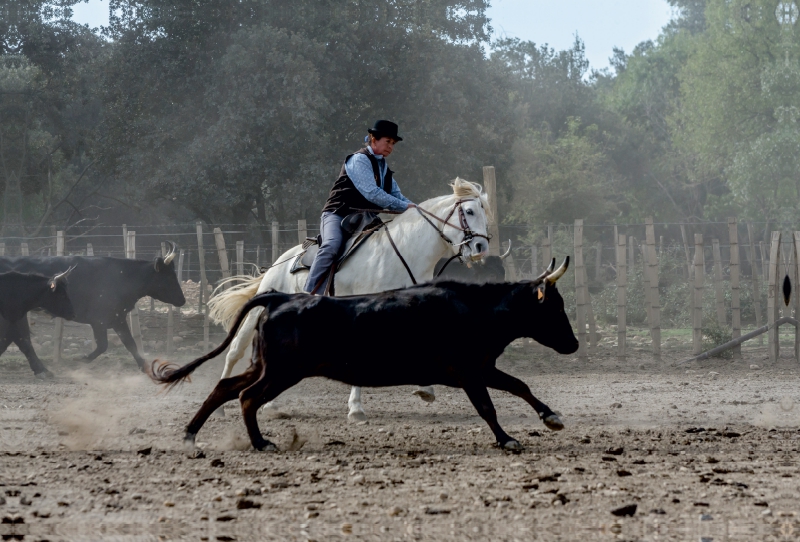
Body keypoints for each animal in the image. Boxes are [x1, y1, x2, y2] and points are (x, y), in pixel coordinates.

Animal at [0, 245, 184, 376]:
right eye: (169, 276)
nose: (183, 300)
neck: (122, 276)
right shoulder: (99, 320)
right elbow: (103, 345)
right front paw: (81, 359)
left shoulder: (117, 318)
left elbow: (130, 343)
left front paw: (144, 366)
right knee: (21, 339)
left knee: (20, 339)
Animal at [152, 264, 576, 454]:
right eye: (555, 309)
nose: (573, 345)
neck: (476, 309)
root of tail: (281, 297)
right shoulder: (470, 372)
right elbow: (488, 407)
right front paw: (507, 439)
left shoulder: (480, 368)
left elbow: (519, 385)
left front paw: (551, 417)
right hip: (282, 372)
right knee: (246, 397)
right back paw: (260, 443)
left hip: (266, 366)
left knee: (226, 388)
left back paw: (191, 434)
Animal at [208, 178, 488, 420]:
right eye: (470, 211)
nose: (481, 248)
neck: (403, 252)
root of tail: (279, 262)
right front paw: (356, 408)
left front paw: (426, 389)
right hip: (256, 315)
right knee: (234, 352)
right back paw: (220, 407)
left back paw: (271, 405)